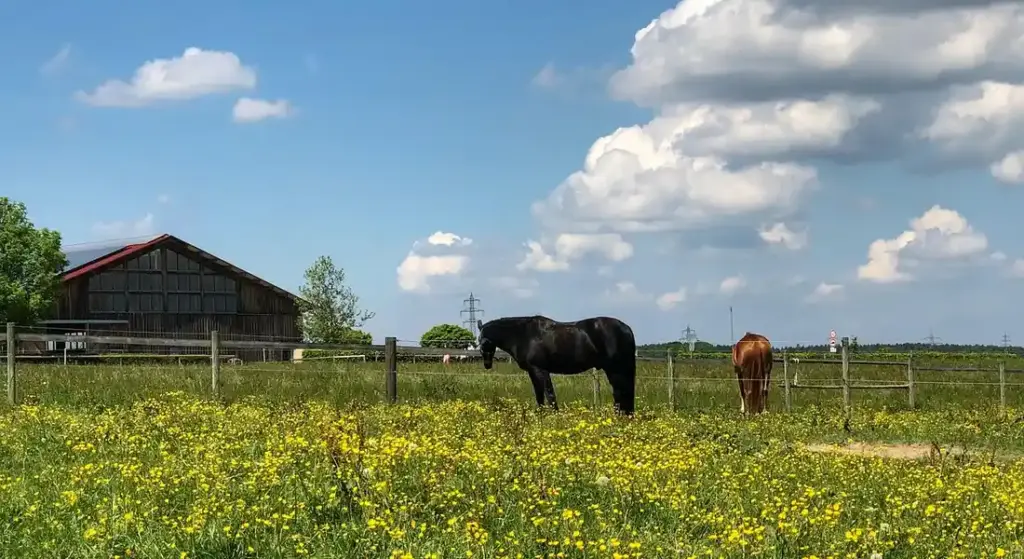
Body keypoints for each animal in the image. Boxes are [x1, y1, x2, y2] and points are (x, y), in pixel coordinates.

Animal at [476, 315, 637, 415]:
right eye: (479, 341)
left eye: (483, 341)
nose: (487, 364)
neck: (524, 335)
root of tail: (627, 328)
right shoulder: (532, 371)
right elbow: (539, 396)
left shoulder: (540, 370)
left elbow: (549, 395)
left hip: (616, 370)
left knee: (620, 393)